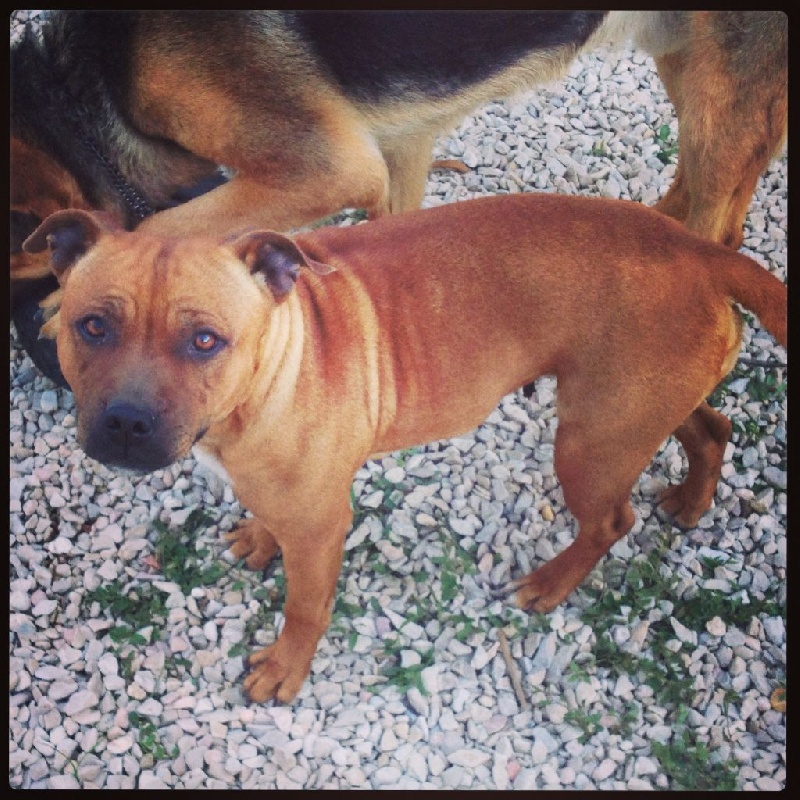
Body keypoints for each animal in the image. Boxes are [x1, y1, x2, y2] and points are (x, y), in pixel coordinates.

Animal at [11, 10, 788, 385]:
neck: (88, 81)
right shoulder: (398, 151)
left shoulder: (325, 168)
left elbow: (169, 225)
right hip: (690, 60)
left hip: (721, 77)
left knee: (716, 225)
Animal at [24, 194, 787, 703]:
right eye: (92, 326)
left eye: (205, 340)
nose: (126, 422)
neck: (273, 362)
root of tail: (698, 248)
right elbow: (268, 519)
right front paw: (260, 540)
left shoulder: (321, 525)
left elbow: (305, 607)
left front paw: (286, 667)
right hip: (639, 408)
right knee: (711, 430)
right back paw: (691, 500)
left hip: (590, 443)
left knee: (610, 522)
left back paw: (550, 582)